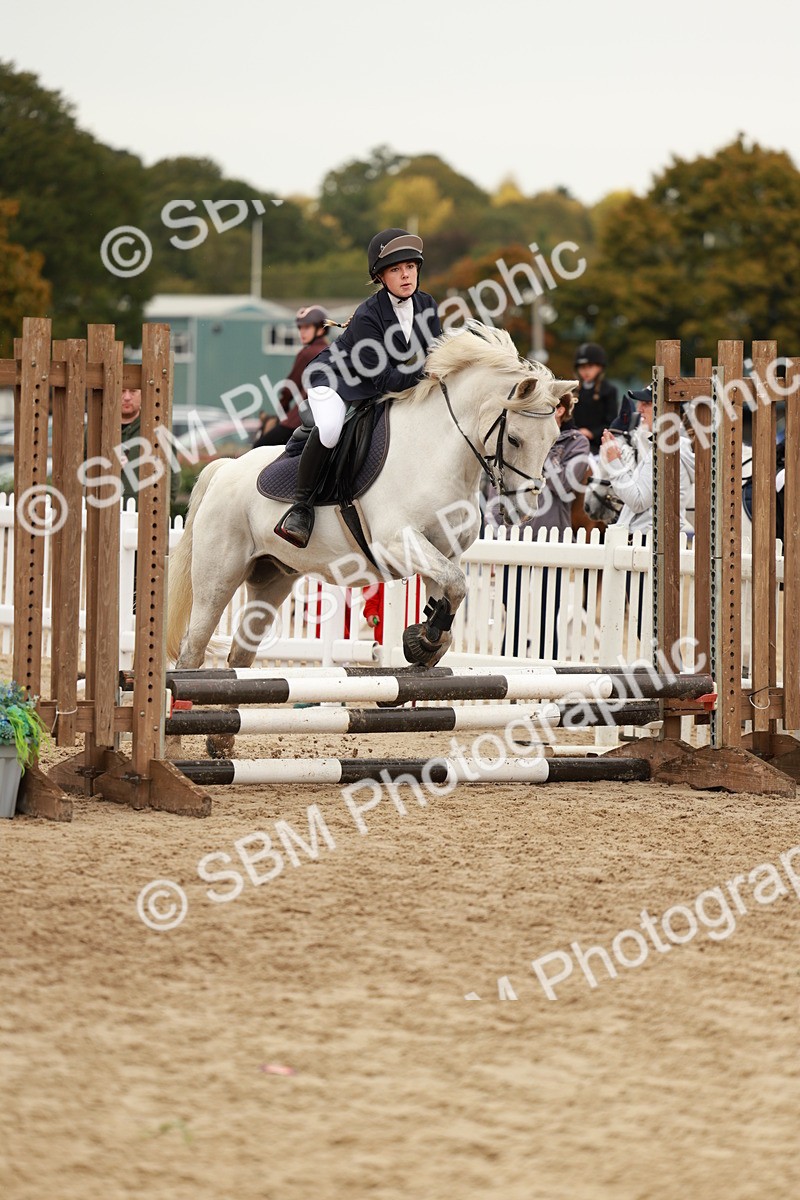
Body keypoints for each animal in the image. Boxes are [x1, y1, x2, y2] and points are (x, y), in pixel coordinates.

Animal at [166, 324, 577, 738]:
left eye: (552, 439)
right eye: (514, 439)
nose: (524, 511)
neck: (438, 451)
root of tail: (225, 468)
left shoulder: (442, 551)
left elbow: (451, 591)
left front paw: (425, 643)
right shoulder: (397, 542)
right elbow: (457, 584)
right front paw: (424, 641)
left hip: (272, 579)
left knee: (240, 655)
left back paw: (222, 740)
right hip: (219, 578)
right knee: (192, 650)